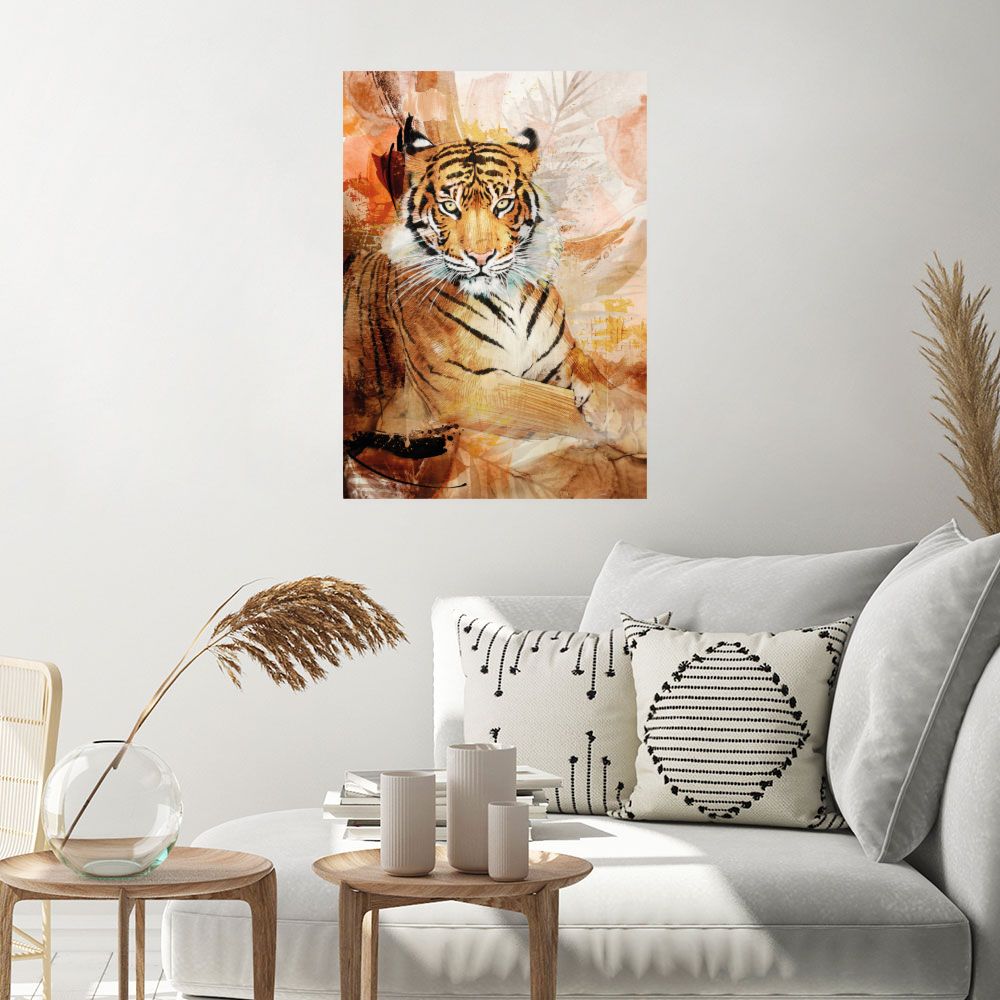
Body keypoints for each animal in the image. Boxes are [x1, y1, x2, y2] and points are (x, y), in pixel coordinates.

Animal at [344, 117, 617, 446]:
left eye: (502, 204)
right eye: (450, 206)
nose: (481, 257)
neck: (507, 296)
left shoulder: (559, 355)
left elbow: (588, 366)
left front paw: (608, 410)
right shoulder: (465, 388)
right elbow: (547, 406)